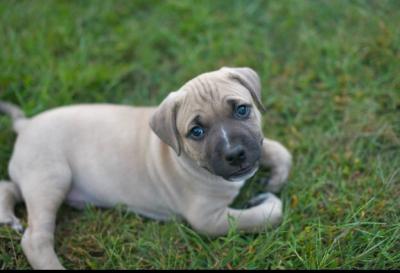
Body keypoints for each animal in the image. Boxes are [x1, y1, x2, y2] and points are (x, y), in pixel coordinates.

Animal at [1, 67, 292, 268]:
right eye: (196, 132)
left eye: (242, 110)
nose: (235, 154)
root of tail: (26, 125)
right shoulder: (208, 218)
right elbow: (266, 215)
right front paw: (267, 200)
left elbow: (281, 151)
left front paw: (274, 179)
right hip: (51, 176)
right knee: (36, 238)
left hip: (34, 175)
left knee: (9, 186)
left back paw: (7, 217)